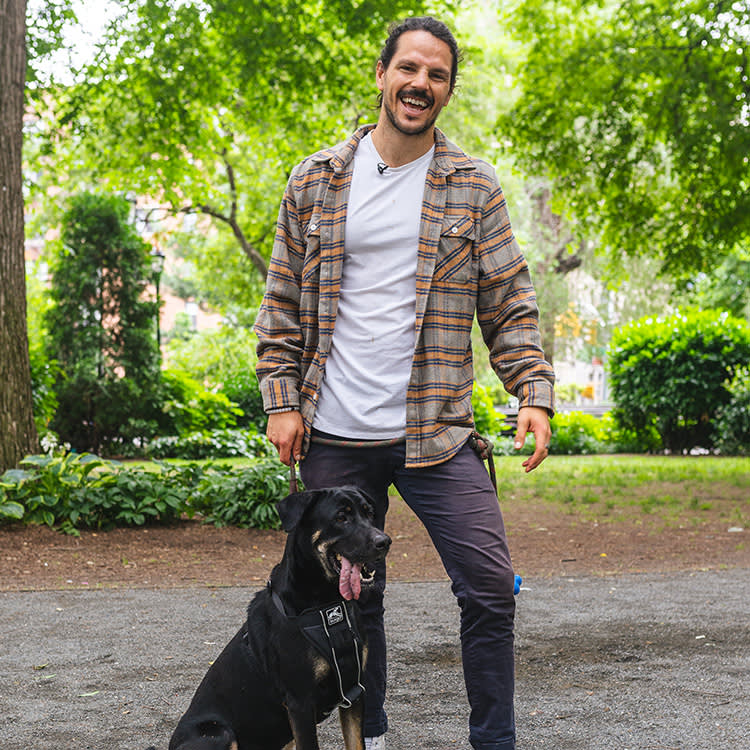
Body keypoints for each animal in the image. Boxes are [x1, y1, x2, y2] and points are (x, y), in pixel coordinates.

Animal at [162, 488, 390, 750]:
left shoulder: (354, 690)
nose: (385, 542)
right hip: (219, 733)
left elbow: (356, 743)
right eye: (341, 517)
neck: (327, 607)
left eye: (369, 513)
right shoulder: (300, 703)